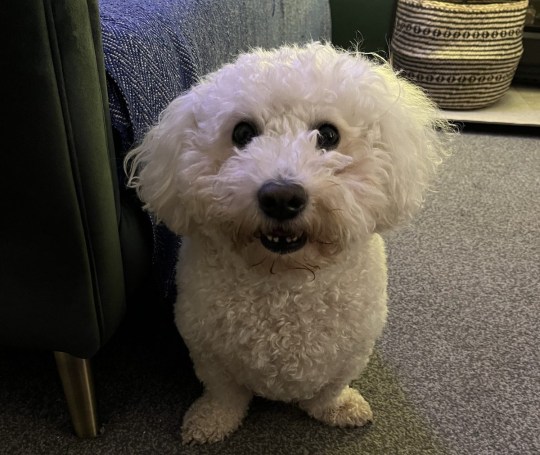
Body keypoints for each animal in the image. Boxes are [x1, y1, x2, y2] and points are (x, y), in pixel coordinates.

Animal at [125, 43, 448, 446]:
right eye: (242, 132)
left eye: (328, 135)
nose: (281, 197)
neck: (285, 282)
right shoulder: (207, 350)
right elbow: (224, 394)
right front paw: (212, 421)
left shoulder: (352, 353)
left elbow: (329, 390)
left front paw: (338, 408)